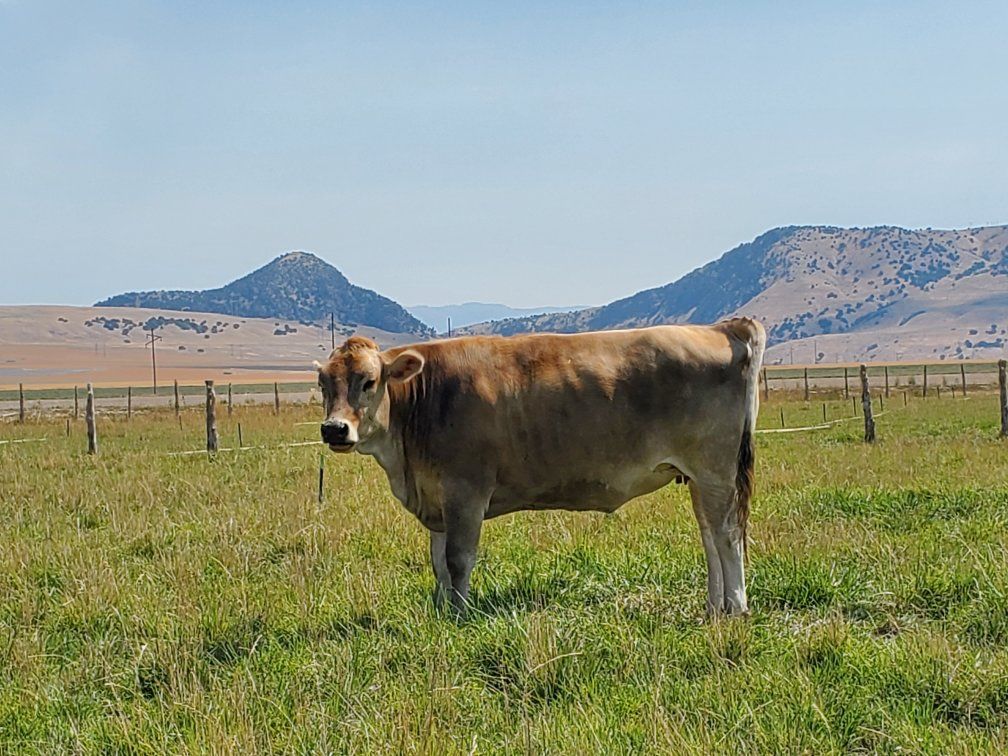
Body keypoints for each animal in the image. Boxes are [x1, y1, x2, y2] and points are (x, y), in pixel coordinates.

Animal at [315, 318, 765, 617]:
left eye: (369, 380)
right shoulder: (437, 498)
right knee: (709, 536)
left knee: (726, 535)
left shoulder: (465, 491)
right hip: (697, 477)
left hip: (715, 469)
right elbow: (438, 561)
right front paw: (443, 611)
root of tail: (721, 327)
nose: (334, 429)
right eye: (323, 383)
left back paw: (736, 607)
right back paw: (714, 607)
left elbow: (458, 559)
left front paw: (460, 616)